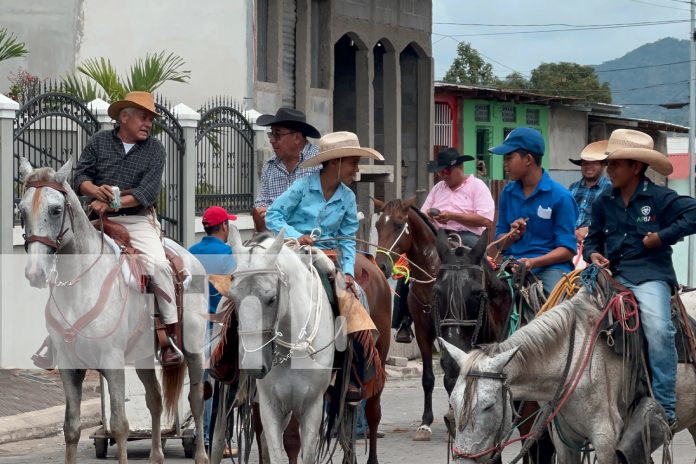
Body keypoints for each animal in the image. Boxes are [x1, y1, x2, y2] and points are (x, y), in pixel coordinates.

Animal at [18, 159, 209, 464]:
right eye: (22, 211)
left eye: (56, 209)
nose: (35, 272)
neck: (80, 286)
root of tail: (187, 256)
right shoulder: (69, 367)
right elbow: (71, 428)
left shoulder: (112, 362)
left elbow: (120, 426)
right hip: (143, 356)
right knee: (155, 400)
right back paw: (156, 455)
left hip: (193, 348)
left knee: (196, 398)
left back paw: (201, 454)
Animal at [212, 228, 340, 464]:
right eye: (234, 296)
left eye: (272, 298)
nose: (252, 365)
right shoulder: (270, 405)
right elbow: (276, 453)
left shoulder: (312, 407)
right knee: (218, 437)